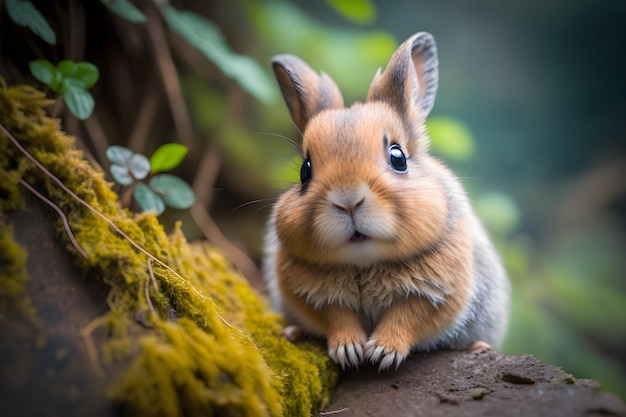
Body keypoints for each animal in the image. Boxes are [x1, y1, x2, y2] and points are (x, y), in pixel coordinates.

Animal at [260, 33, 510, 370]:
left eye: (398, 157)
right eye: (304, 171)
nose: (348, 200)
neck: (365, 263)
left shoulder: (437, 294)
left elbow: (406, 317)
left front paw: (382, 352)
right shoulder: (312, 297)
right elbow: (337, 319)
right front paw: (349, 351)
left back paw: (479, 347)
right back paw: (292, 332)